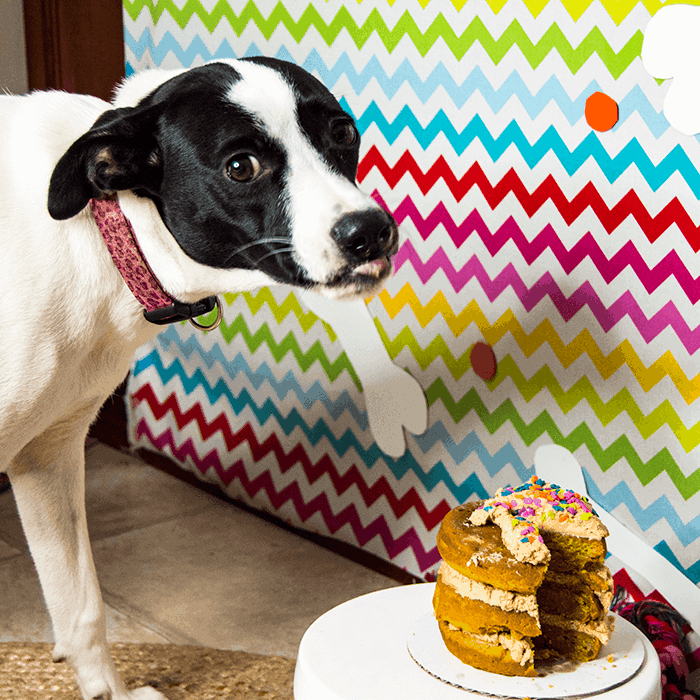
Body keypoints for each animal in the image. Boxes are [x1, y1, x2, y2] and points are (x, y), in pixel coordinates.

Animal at [1, 57, 394, 696]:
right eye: (241, 166)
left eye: (342, 132)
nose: (369, 231)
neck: (107, 233)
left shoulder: (47, 454)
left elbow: (81, 603)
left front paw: (109, 692)